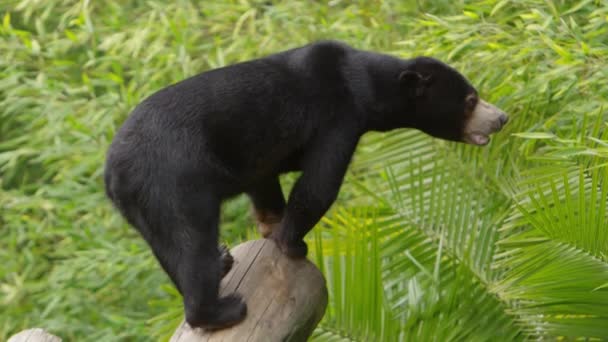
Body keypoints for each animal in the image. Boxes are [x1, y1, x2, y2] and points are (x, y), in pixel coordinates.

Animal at [104, 39, 508, 328]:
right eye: (471, 100)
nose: (501, 117)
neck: (367, 89)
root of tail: (112, 171)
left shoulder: (262, 151)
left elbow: (265, 179)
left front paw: (272, 226)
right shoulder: (338, 116)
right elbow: (319, 184)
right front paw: (293, 244)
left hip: (145, 205)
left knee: (170, 249)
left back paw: (220, 266)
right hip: (174, 181)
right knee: (191, 243)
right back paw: (221, 309)